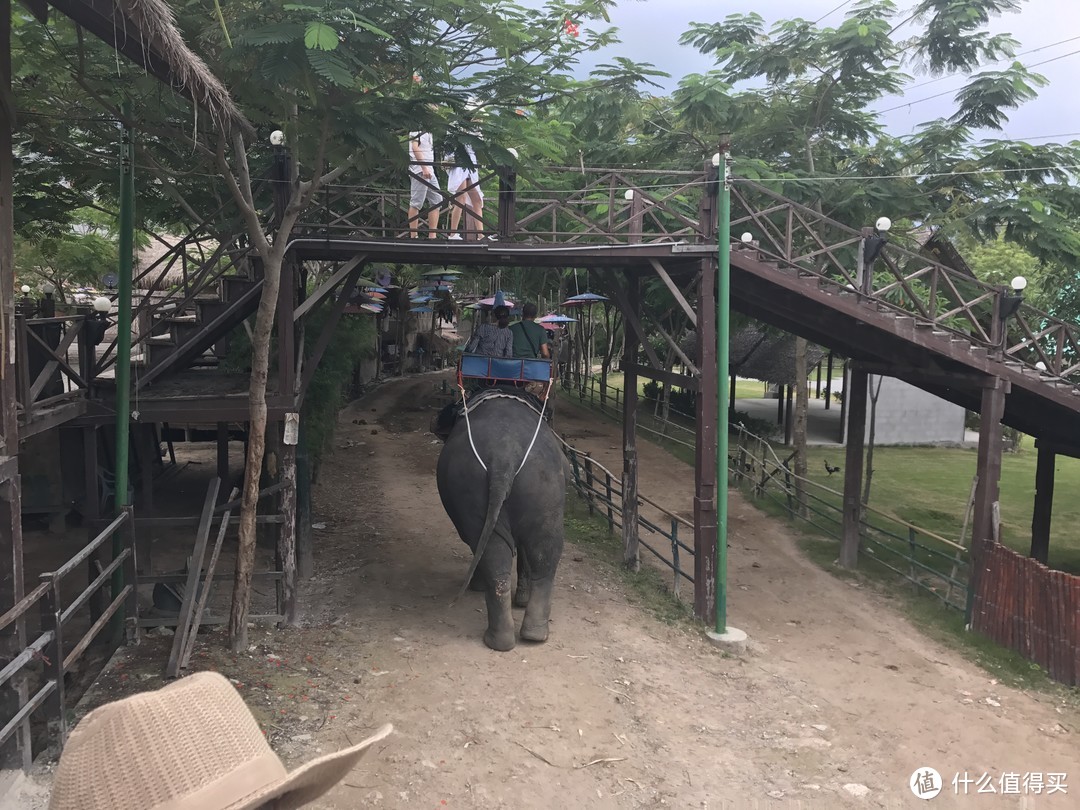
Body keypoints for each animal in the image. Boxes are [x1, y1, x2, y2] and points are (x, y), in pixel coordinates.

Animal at [429, 388, 570, 652]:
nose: (433, 424)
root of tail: (504, 456)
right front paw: (520, 598)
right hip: (543, 487)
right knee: (542, 551)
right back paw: (527, 636)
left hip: (480, 487)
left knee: (493, 550)